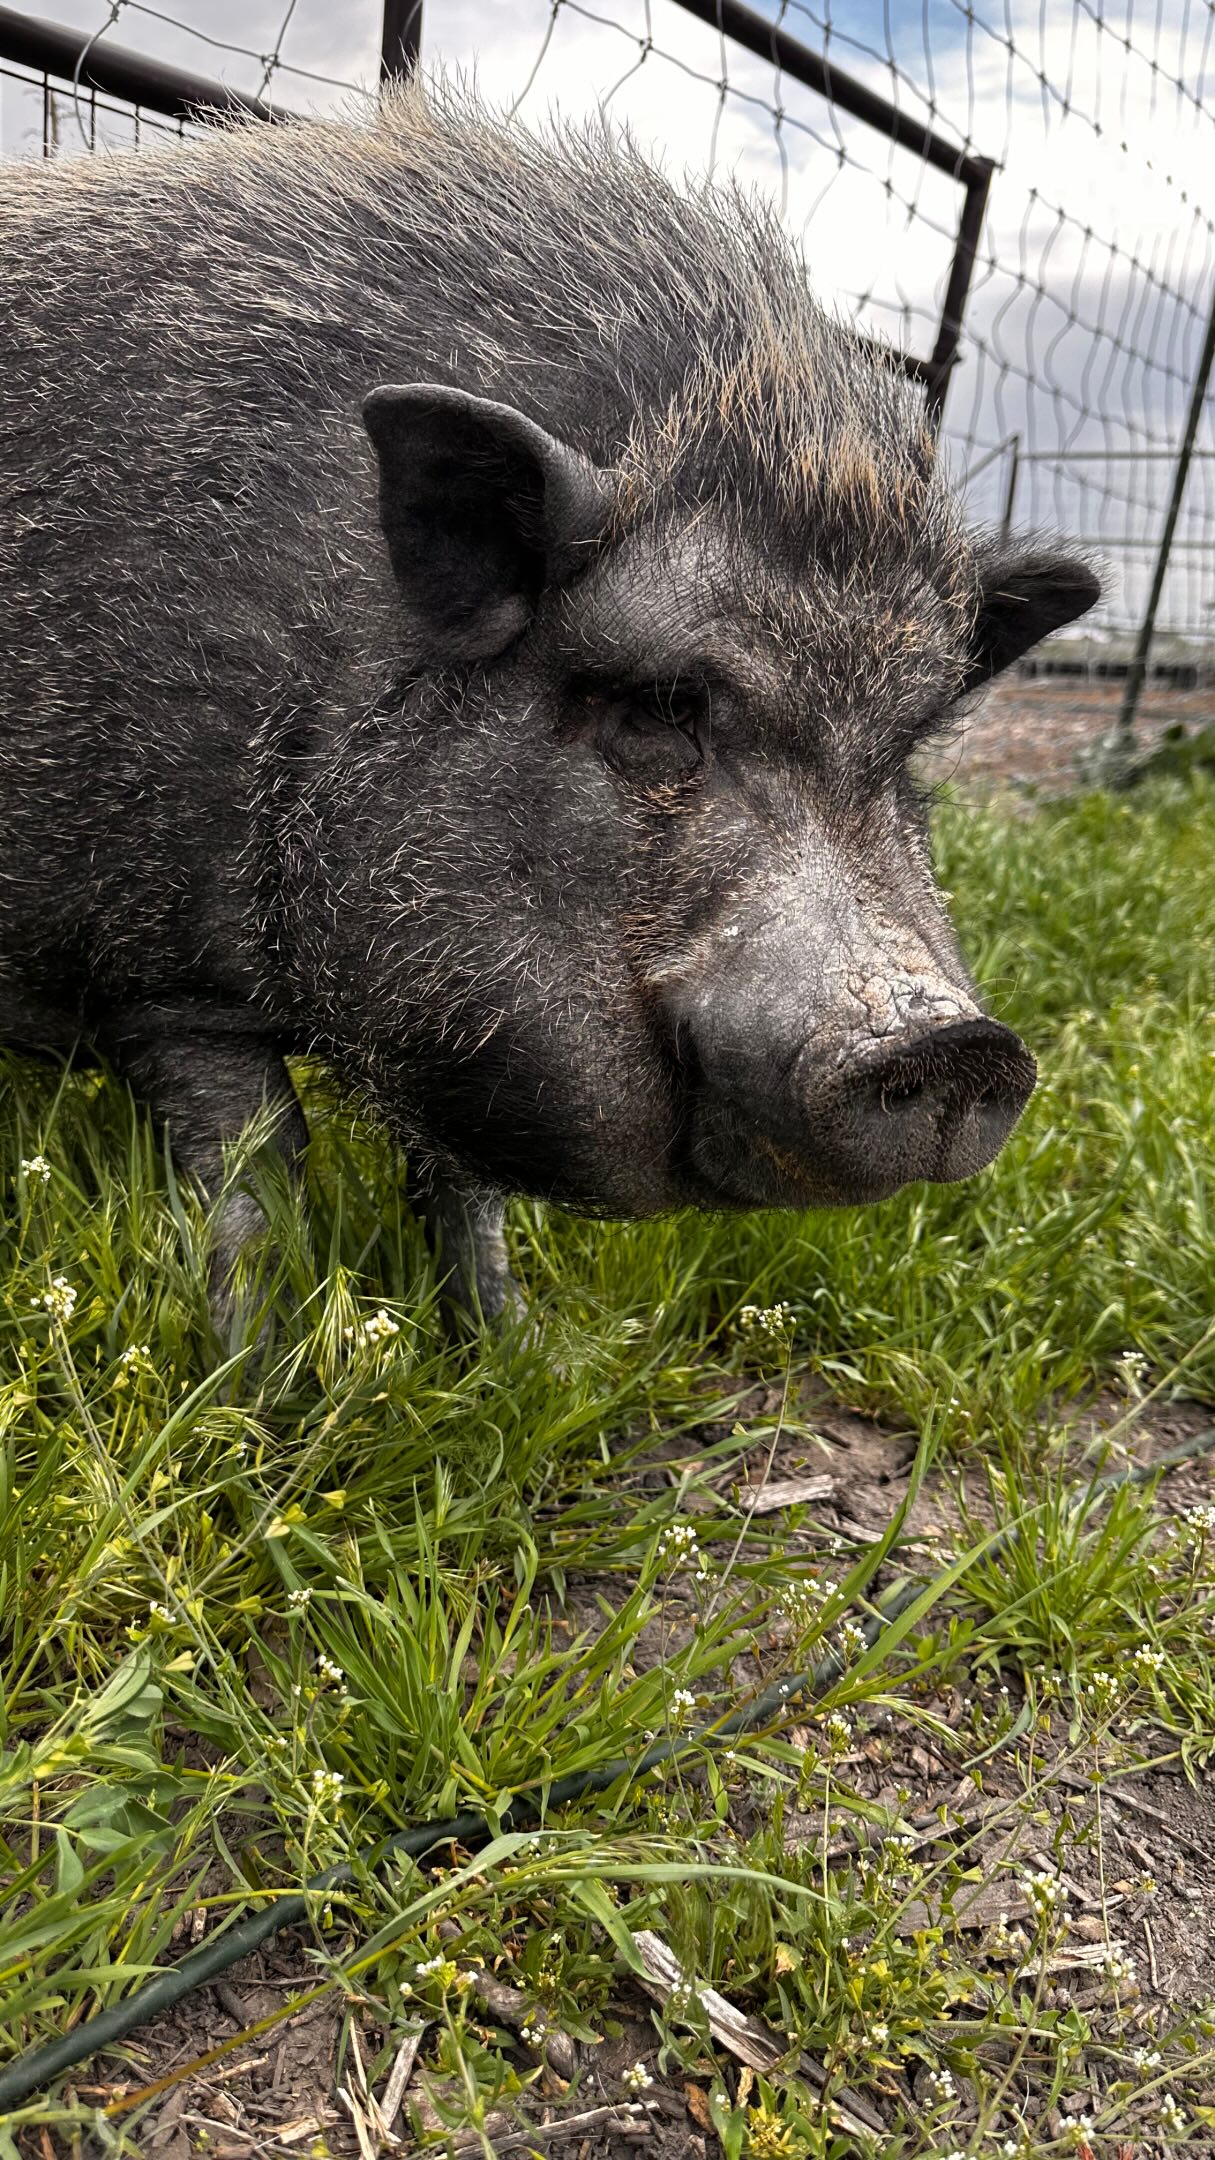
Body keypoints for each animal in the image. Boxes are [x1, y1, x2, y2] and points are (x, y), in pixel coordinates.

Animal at [0, 83, 1098, 1318]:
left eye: (903, 751)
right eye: (661, 706)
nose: (956, 1044)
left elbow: (462, 1194)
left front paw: (508, 1340)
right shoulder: (161, 977)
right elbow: (255, 1187)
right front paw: (255, 1365)